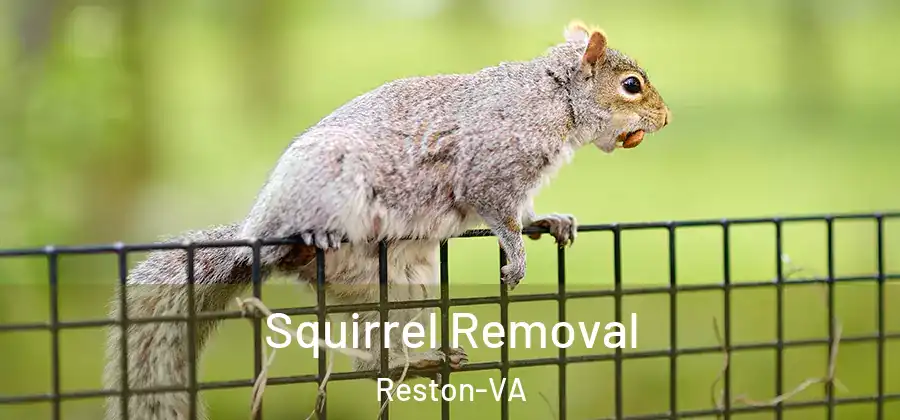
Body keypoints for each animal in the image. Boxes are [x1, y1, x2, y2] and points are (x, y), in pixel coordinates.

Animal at [102, 20, 670, 420]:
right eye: (631, 85)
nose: (665, 119)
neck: (554, 98)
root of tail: (253, 236)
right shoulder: (489, 168)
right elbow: (497, 213)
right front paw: (516, 255)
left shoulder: (520, 183)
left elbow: (524, 211)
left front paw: (549, 222)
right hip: (327, 187)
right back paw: (309, 239)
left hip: (399, 287)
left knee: (371, 361)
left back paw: (415, 360)